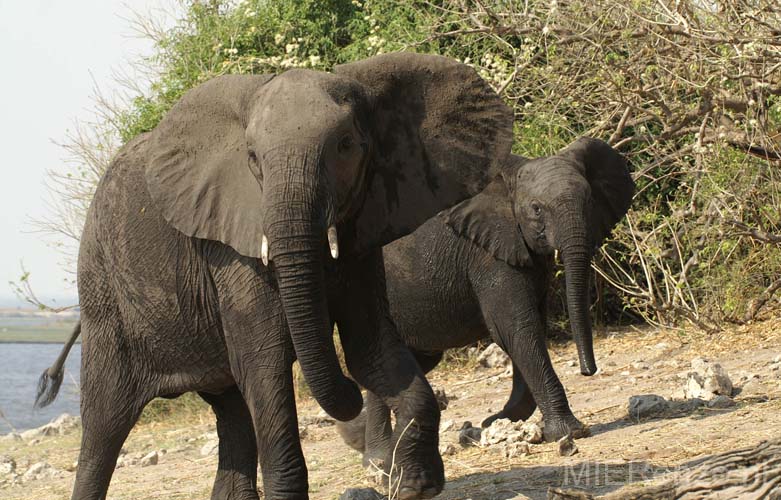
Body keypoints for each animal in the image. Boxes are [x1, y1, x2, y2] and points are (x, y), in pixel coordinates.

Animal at [35, 52, 512, 498]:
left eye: (345, 144)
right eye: (252, 158)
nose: (349, 399)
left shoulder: (363, 237)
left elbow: (369, 346)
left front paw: (414, 484)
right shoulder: (231, 248)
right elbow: (266, 362)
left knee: (231, 410)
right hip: (104, 292)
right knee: (104, 424)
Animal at [336, 137, 632, 464]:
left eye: (590, 201)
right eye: (536, 209)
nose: (587, 371)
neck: (509, 181)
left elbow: (530, 328)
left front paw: (498, 422)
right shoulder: (487, 255)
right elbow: (516, 329)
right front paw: (570, 432)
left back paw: (380, 455)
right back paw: (379, 460)